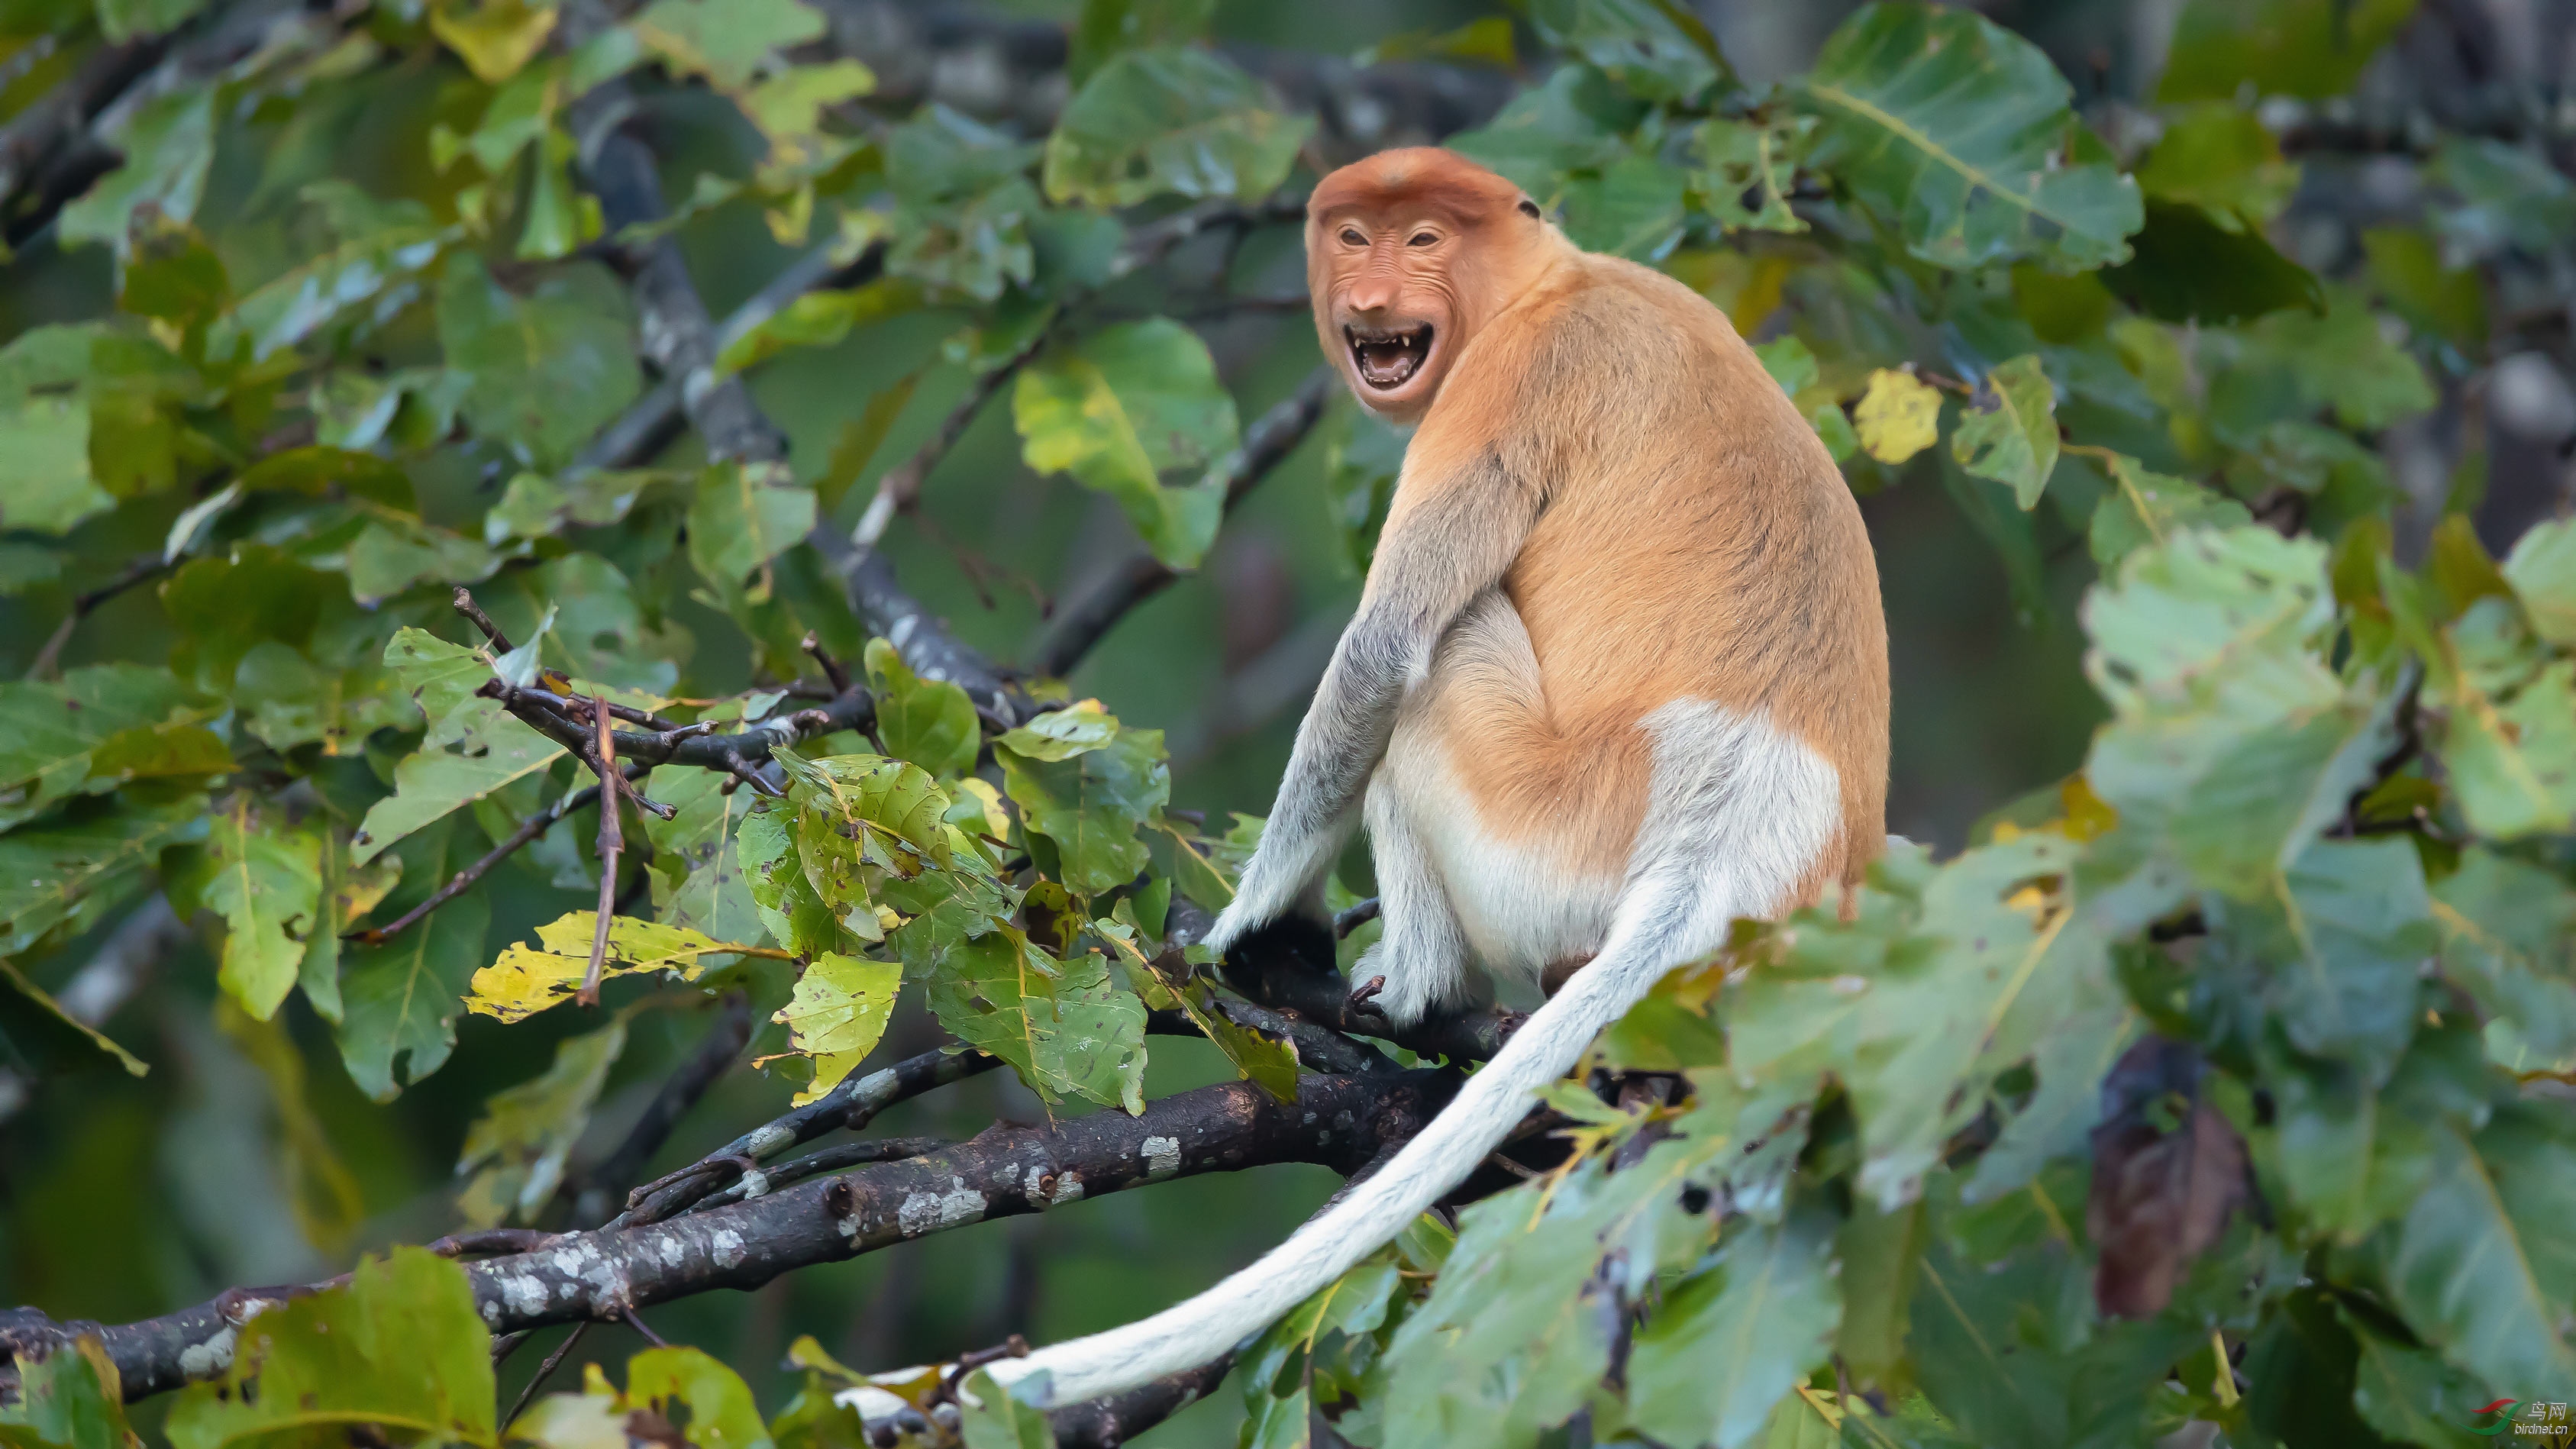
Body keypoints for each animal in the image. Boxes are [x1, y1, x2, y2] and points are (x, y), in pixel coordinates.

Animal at [973, 153, 1885, 1410]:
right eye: (1350, 234)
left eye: (1422, 239)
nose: (1368, 293)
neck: (1549, 282)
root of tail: (1722, 849)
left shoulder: (1495, 392)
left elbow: (1385, 652)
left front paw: (1246, 930)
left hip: (1534, 828)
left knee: (1433, 671)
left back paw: (1413, 983)